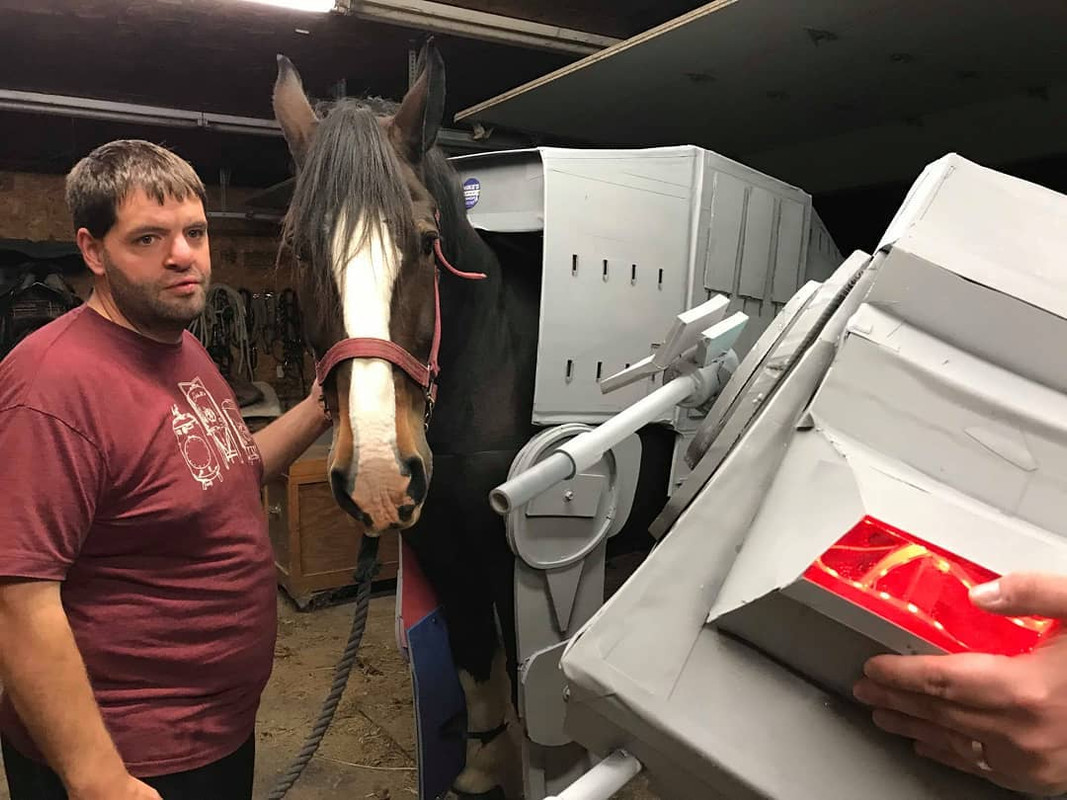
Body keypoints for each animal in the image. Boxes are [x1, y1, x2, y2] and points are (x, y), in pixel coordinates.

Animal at [275, 45, 670, 800]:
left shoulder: (521, 557)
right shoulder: (441, 543)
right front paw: (482, 766)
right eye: (301, 250)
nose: (377, 472)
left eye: (426, 242)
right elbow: (473, 658)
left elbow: (526, 674)